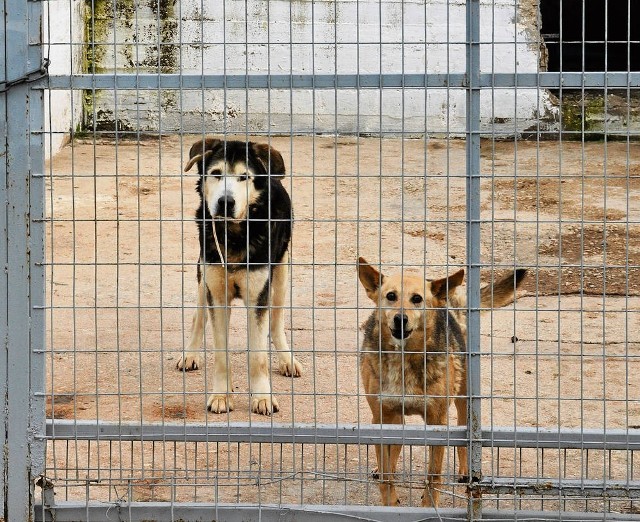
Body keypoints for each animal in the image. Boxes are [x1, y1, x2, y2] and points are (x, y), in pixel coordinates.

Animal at [178, 137, 302, 414]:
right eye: (216, 173)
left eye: (244, 177)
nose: (226, 202)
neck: (234, 234)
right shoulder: (217, 293)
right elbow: (220, 352)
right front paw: (221, 396)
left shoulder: (258, 296)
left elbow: (258, 355)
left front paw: (262, 398)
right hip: (203, 279)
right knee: (198, 317)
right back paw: (189, 354)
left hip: (281, 274)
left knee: (276, 322)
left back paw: (287, 359)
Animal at [358, 258, 528, 506]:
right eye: (391, 296)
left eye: (417, 299)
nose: (400, 319)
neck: (404, 360)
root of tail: (451, 300)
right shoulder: (382, 417)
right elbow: (387, 473)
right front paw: (390, 501)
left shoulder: (437, 421)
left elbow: (434, 475)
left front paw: (429, 506)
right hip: (395, 417)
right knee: (394, 449)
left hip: (464, 401)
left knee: (465, 436)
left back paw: (467, 472)